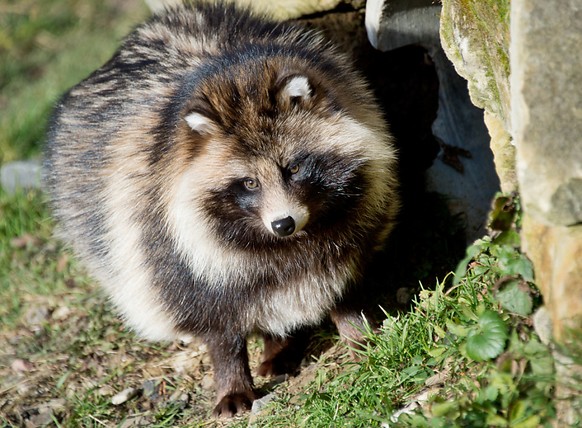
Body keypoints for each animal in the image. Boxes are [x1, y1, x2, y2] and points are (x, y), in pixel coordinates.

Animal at [43, 0, 402, 418]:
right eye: (249, 183)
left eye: (293, 168)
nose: (283, 223)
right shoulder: (164, 236)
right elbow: (215, 318)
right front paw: (232, 377)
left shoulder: (359, 207)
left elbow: (342, 275)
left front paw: (357, 331)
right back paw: (275, 342)